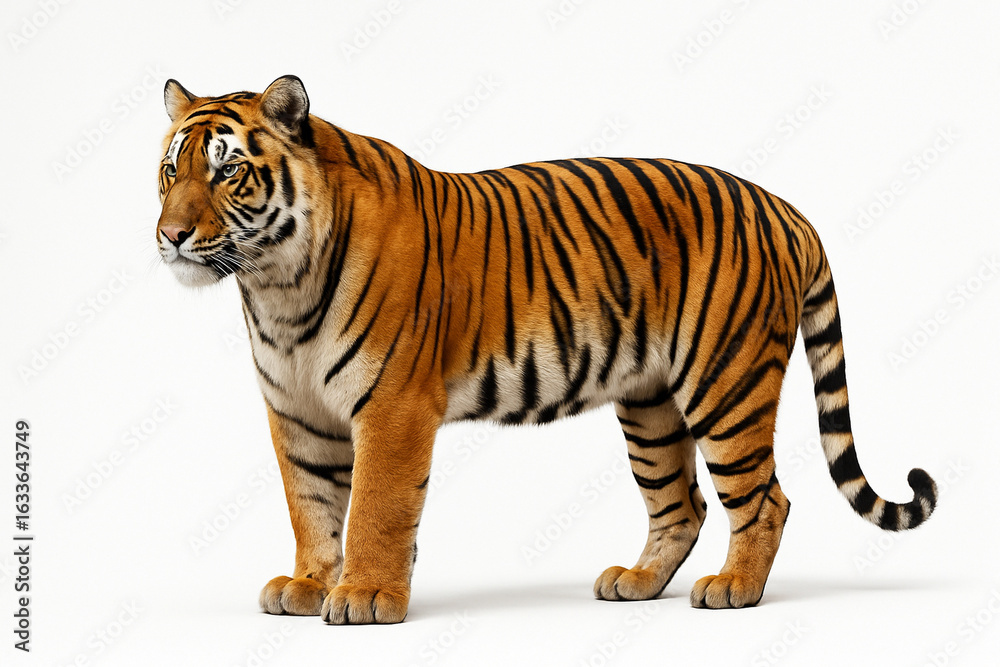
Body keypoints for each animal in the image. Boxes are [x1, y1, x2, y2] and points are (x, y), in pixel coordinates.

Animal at [156, 75, 937, 624]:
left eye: (228, 171)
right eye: (171, 170)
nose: (170, 236)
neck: (275, 284)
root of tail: (784, 206)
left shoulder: (392, 407)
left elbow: (376, 505)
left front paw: (367, 594)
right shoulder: (298, 413)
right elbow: (311, 503)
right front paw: (309, 584)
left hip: (726, 384)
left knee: (766, 498)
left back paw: (734, 588)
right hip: (650, 404)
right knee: (681, 503)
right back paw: (637, 582)